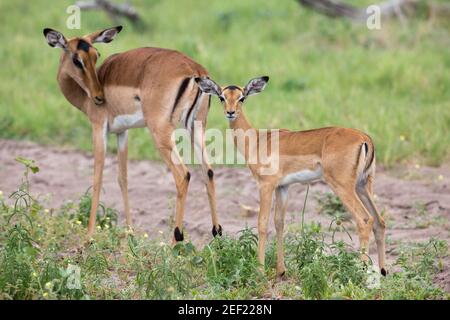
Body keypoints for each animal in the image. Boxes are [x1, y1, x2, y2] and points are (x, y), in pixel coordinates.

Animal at [196, 75, 386, 278]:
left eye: (242, 98)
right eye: (222, 97)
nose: (230, 112)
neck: (257, 141)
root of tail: (365, 139)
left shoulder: (266, 185)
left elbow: (262, 223)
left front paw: (260, 270)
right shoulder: (283, 187)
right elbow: (279, 223)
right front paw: (281, 270)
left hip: (343, 187)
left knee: (365, 220)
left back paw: (362, 273)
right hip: (363, 186)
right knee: (380, 222)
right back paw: (383, 273)